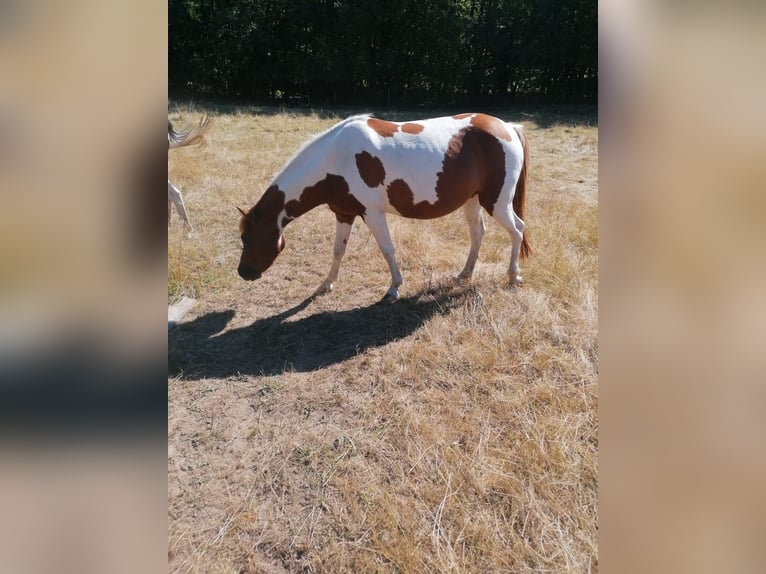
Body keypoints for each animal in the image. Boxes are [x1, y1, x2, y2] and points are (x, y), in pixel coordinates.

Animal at [237, 112, 532, 302]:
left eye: (246, 238)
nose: (243, 273)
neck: (334, 160)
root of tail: (507, 126)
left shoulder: (372, 214)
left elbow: (387, 250)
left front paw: (394, 288)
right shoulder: (344, 213)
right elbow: (338, 251)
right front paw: (326, 284)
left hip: (497, 202)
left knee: (517, 230)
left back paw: (513, 276)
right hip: (472, 201)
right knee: (478, 233)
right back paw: (465, 274)